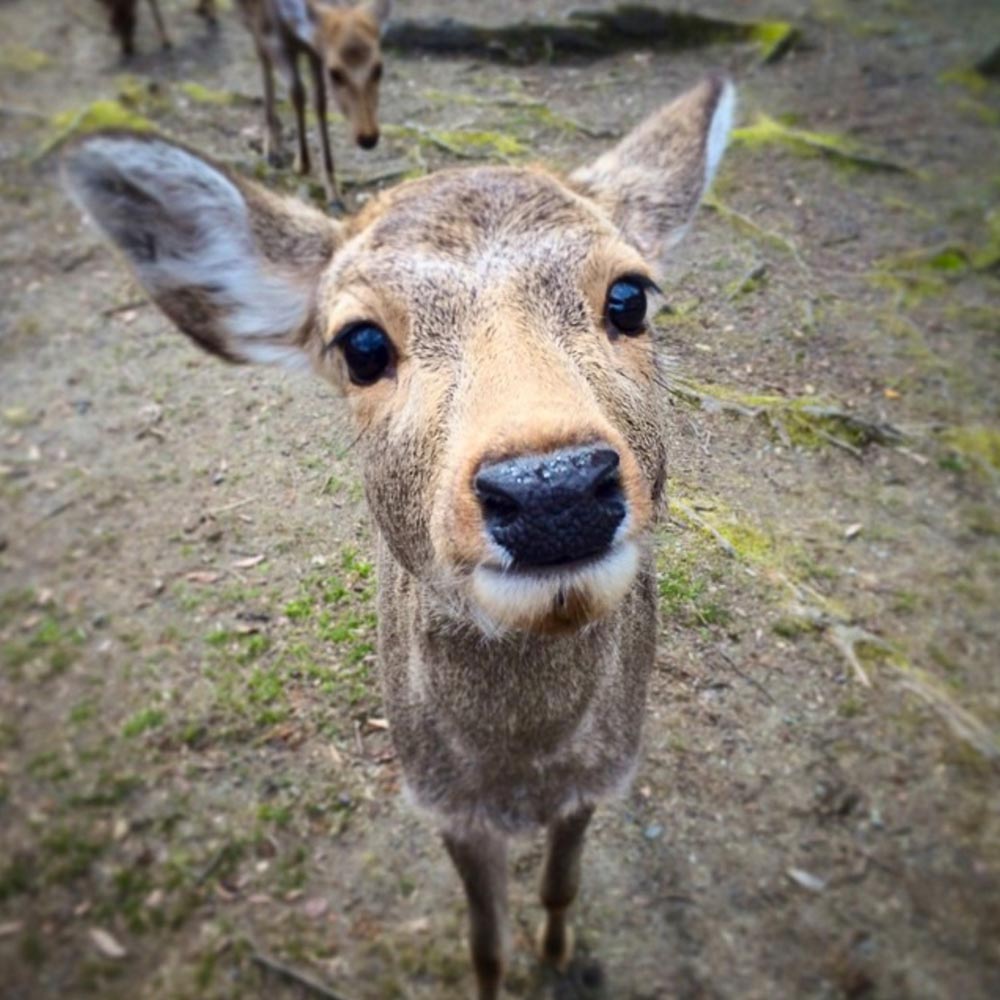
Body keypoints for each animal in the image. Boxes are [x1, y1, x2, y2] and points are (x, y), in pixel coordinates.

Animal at [62, 74, 736, 996]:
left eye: (629, 297)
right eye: (361, 343)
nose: (552, 487)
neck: (523, 777)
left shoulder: (605, 771)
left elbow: (561, 884)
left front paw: (560, 953)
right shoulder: (436, 796)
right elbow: (482, 939)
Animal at [237, 0, 390, 207]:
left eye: (379, 68)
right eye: (335, 73)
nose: (368, 137)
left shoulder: (315, 51)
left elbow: (319, 102)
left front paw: (334, 194)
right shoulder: (273, 38)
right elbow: (297, 91)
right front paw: (301, 165)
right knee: (262, 58)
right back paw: (273, 149)